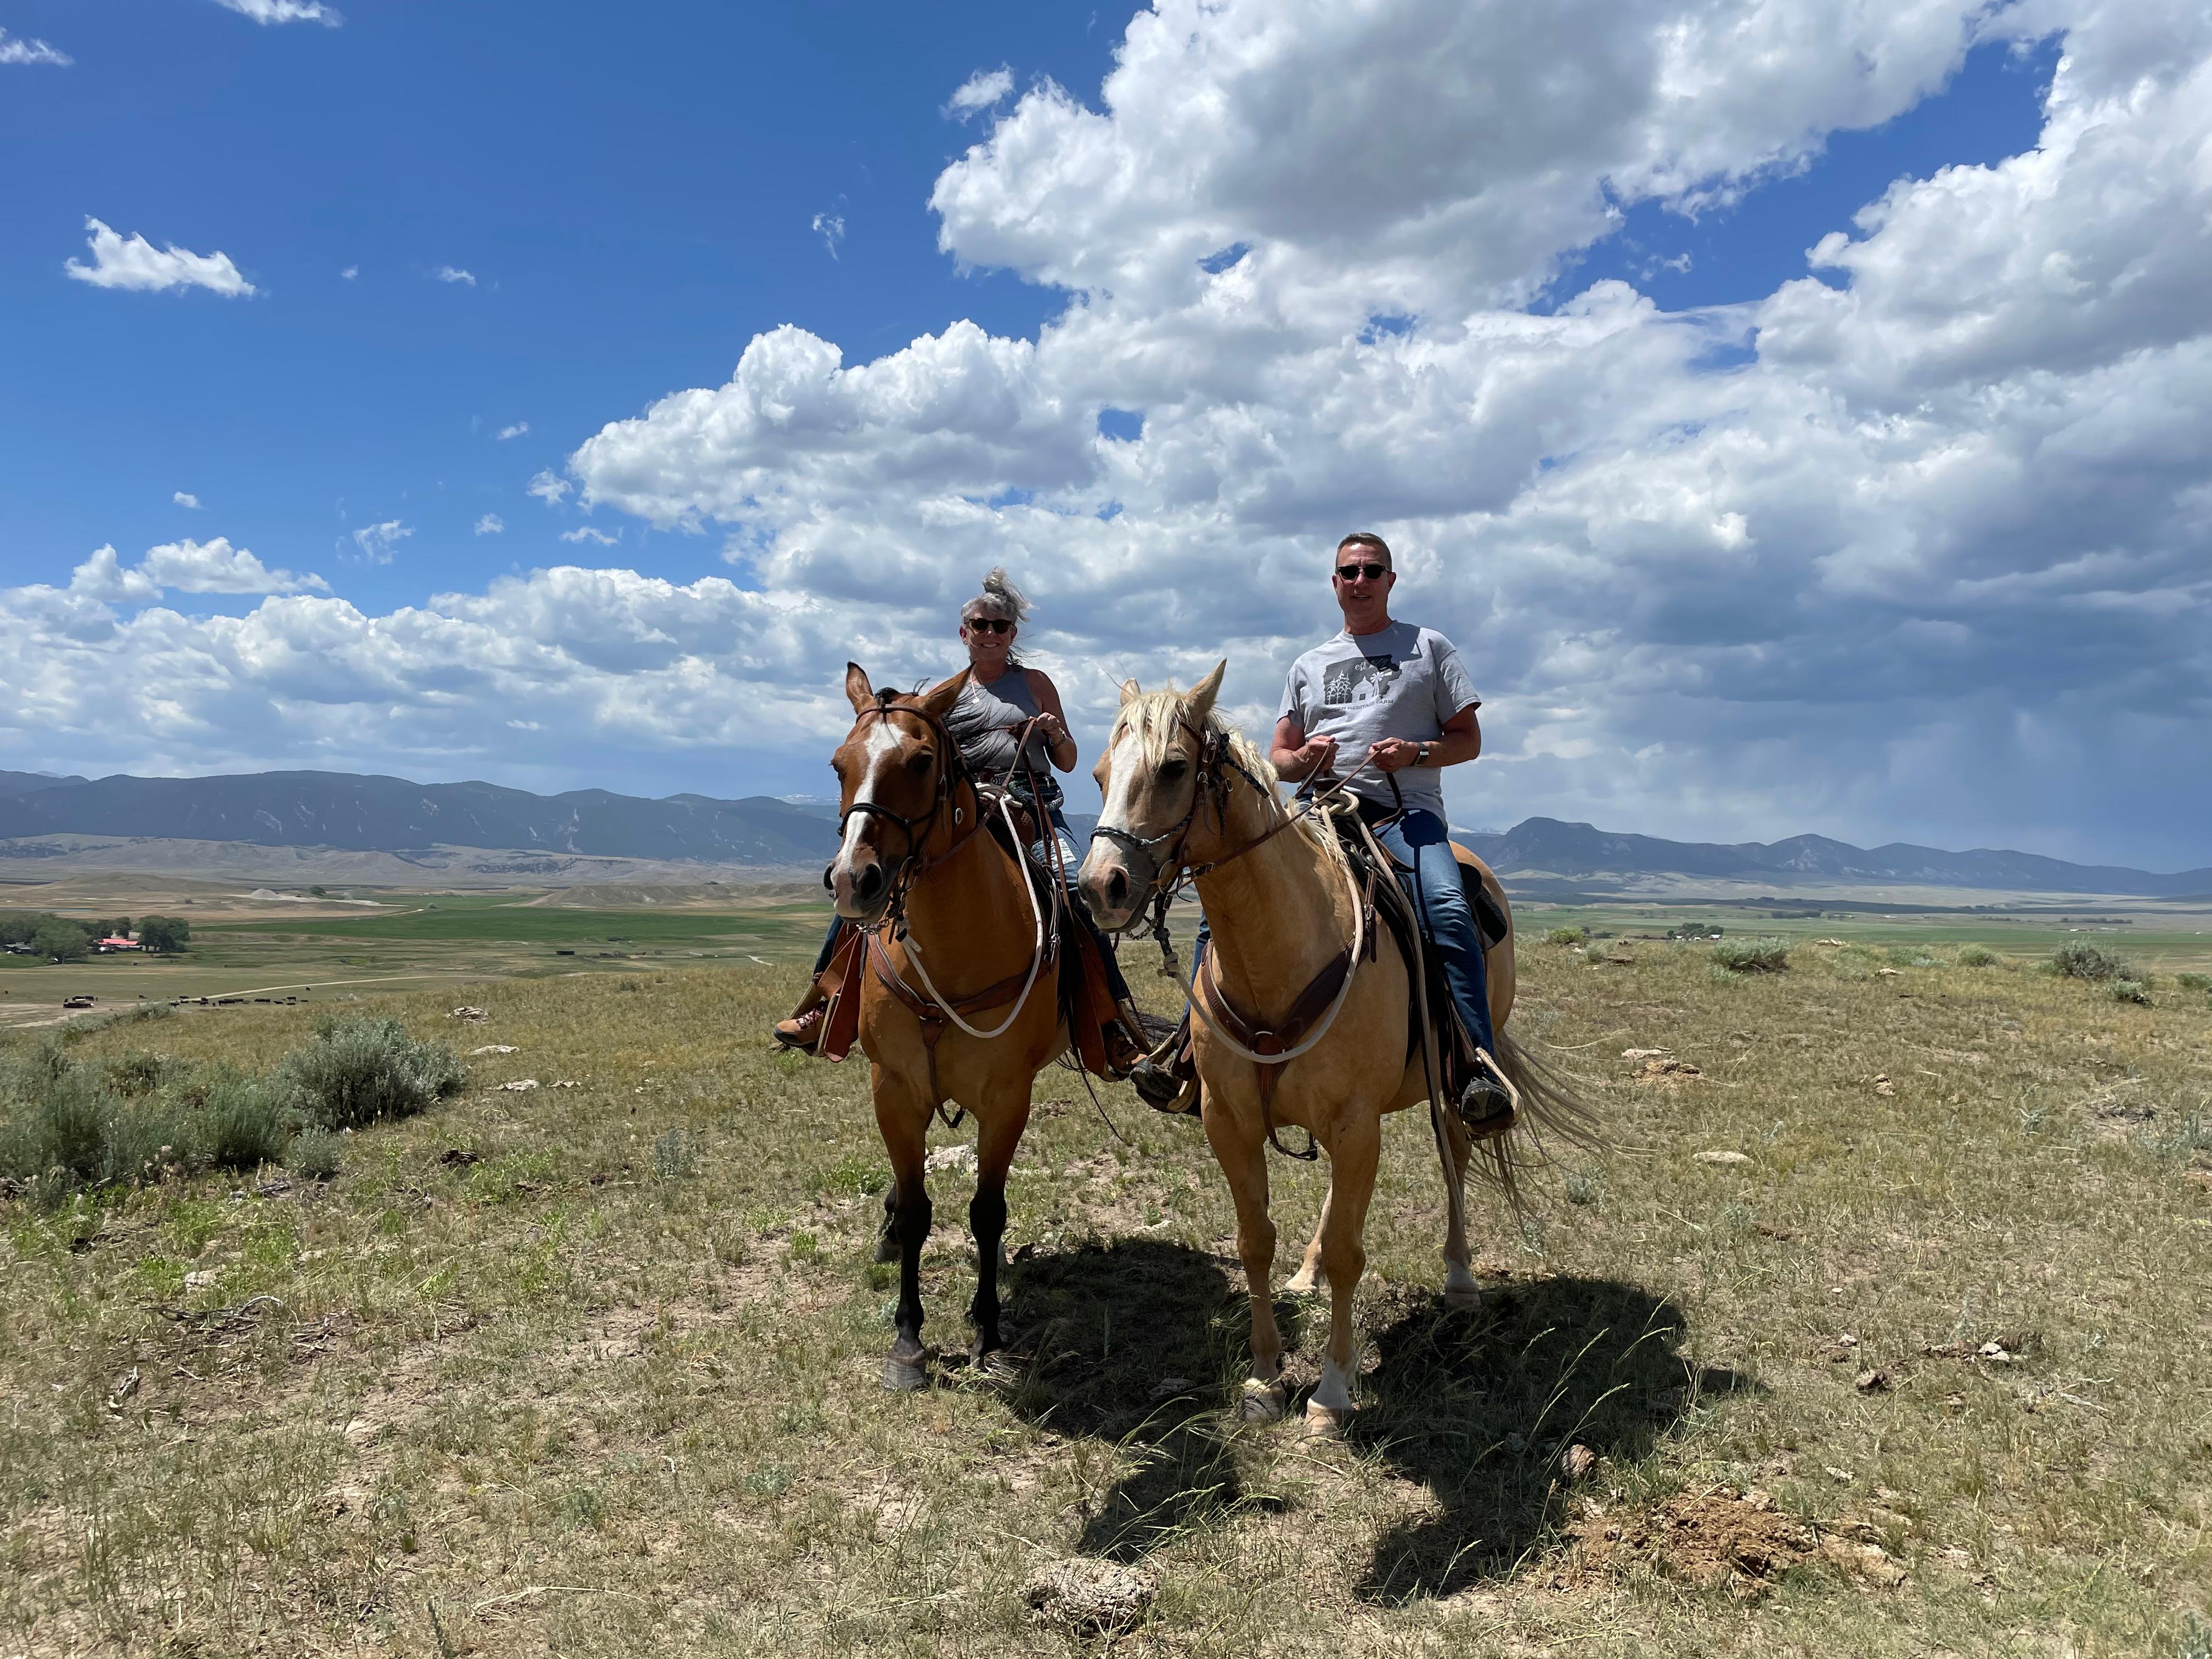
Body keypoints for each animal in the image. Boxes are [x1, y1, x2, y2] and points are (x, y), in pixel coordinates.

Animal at [822, 663, 1079, 1389]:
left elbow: (987, 1213)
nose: (853, 881)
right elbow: (915, 1212)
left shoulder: (1007, 1098)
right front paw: (908, 1342)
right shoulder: (892, 1088)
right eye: (838, 764)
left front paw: (988, 1328)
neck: (952, 953)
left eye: (920, 761)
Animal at [1075, 668, 1583, 1433]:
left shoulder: (1355, 1123)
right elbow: (1254, 1240)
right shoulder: (1231, 1123)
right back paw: (1306, 1272)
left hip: (1451, 1083)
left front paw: (1333, 1389)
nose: (1099, 887)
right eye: (1101, 772)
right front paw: (1263, 1376)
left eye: (1174, 768)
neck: (1276, 955)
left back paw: (1460, 1278)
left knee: (1457, 1154)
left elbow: (1351, 1251)